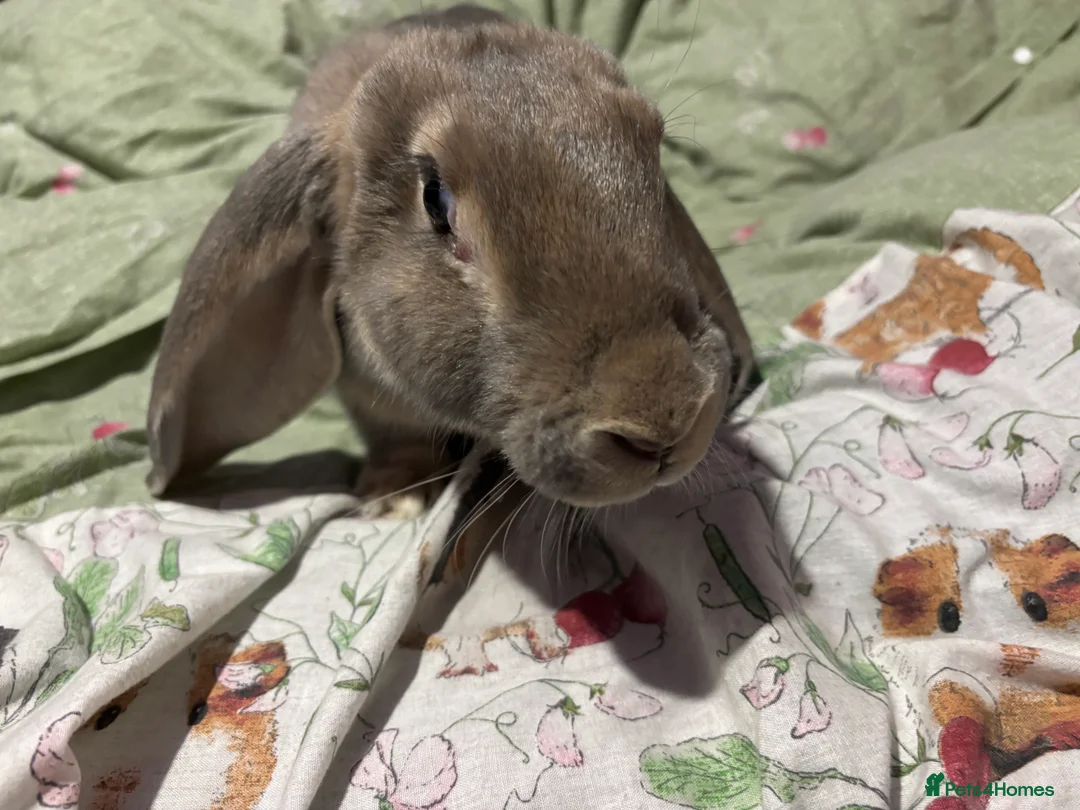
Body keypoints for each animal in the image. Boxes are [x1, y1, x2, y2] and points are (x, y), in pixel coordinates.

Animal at [145, 4, 755, 520]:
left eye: (652, 143)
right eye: (435, 200)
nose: (667, 420)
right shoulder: (374, 404)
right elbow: (397, 438)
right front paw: (393, 501)